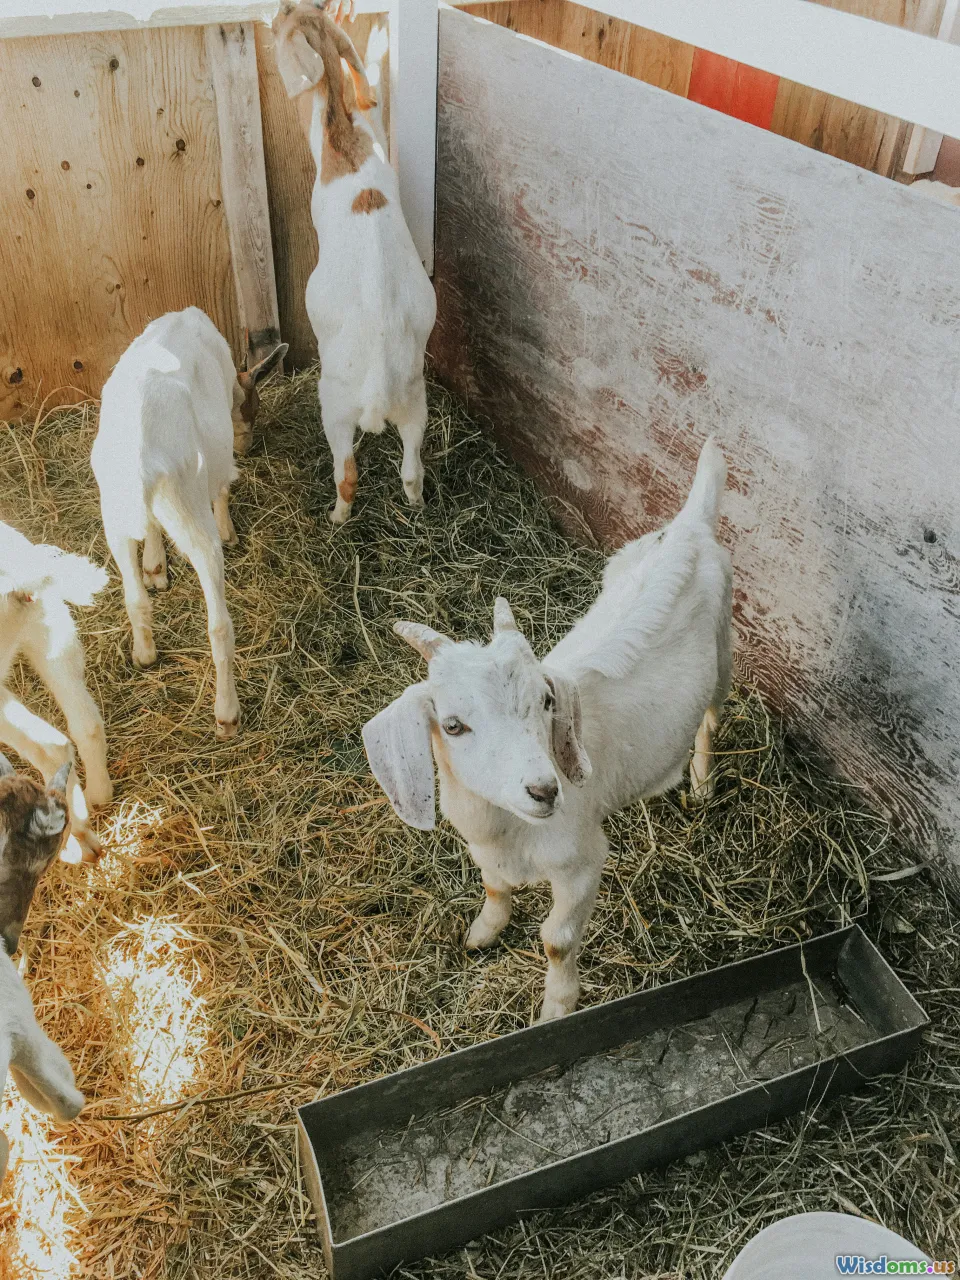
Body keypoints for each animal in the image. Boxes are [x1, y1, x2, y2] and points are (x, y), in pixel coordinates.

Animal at [91, 308, 287, 740]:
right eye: (254, 406)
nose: (248, 445)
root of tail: (142, 458)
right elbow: (223, 485)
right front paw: (229, 531)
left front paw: (155, 567)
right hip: (190, 511)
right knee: (219, 625)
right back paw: (227, 714)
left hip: (114, 512)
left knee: (133, 595)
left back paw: (145, 652)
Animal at [271, 1, 437, 523]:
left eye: (284, 20)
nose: (275, 11)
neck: (341, 135)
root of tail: (379, 383)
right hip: (416, 400)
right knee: (411, 471)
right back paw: (418, 508)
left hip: (336, 404)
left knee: (347, 474)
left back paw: (336, 519)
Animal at [363, 439, 732, 1022]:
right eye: (453, 724)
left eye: (545, 701)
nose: (544, 790)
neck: (506, 829)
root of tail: (690, 526)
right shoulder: (486, 852)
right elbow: (493, 889)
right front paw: (482, 933)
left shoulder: (581, 862)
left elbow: (556, 940)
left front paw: (558, 1007)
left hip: (725, 649)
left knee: (712, 718)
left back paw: (701, 782)